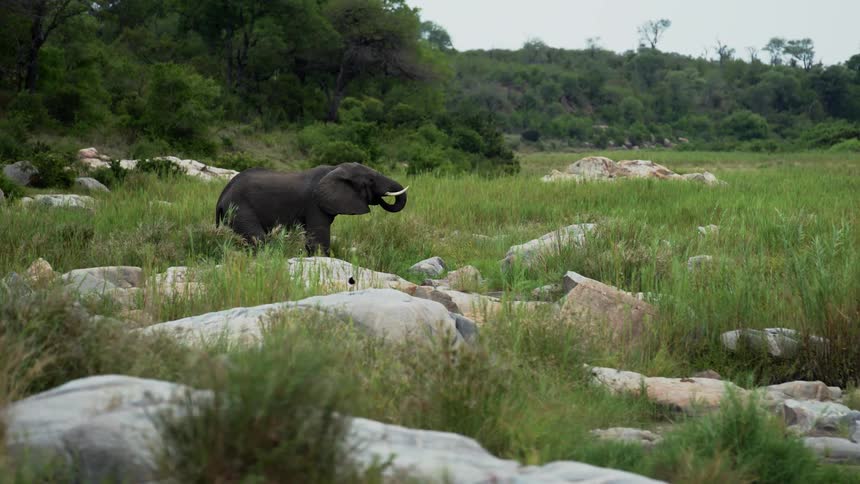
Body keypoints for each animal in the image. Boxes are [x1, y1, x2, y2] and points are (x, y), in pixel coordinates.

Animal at [215, 162, 408, 255]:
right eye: (371, 180)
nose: (379, 197)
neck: (335, 168)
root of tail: (221, 198)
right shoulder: (314, 203)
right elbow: (319, 236)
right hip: (239, 209)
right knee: (258, 239)